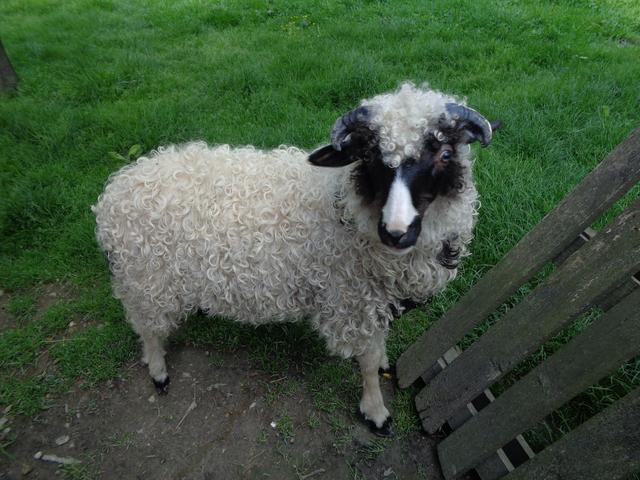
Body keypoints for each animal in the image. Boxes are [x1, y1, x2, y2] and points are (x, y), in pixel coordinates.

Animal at [92, 82, 498, 437]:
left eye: (445, 155)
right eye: (369, 156)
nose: (396, 232)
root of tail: (115, 191)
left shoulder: (374, 300)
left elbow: (378, 348)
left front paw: (383, 365)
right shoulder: (351, 300)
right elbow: (367, 363)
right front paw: (376, 412)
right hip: (147, 279)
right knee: (147, 328)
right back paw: (158, 372)